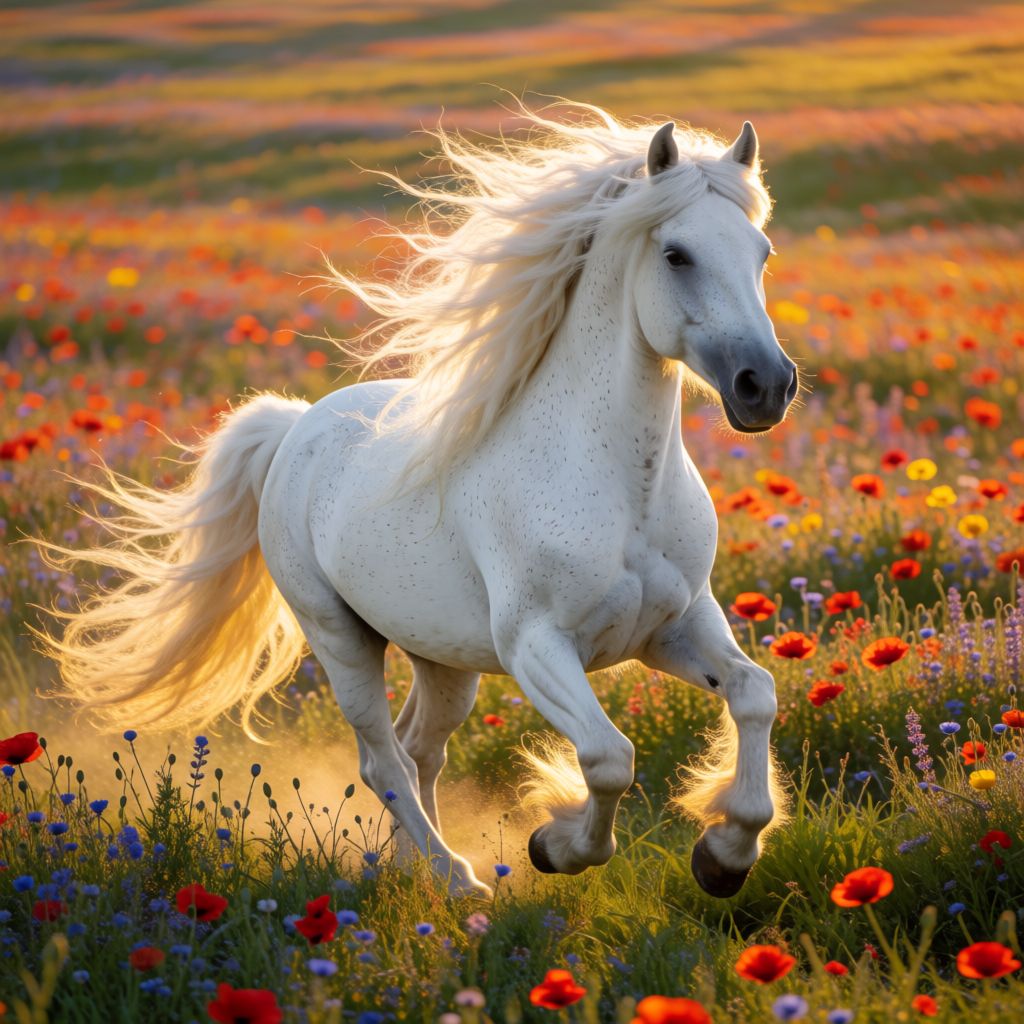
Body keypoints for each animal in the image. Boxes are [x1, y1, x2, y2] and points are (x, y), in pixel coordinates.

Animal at [42, 106, 797, 899]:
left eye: (762, 252)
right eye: (677, 255)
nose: (766, 385)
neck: (625, 491)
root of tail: (295, 427)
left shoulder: (676, 625)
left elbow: (754, 693)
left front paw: (725, 856)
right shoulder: (537, 645)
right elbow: (608, 758)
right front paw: (555, 845)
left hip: (444, 658)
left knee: (418, 749)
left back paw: (415, 868)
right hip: (339, 638)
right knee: (385, 760)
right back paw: (457, 879)